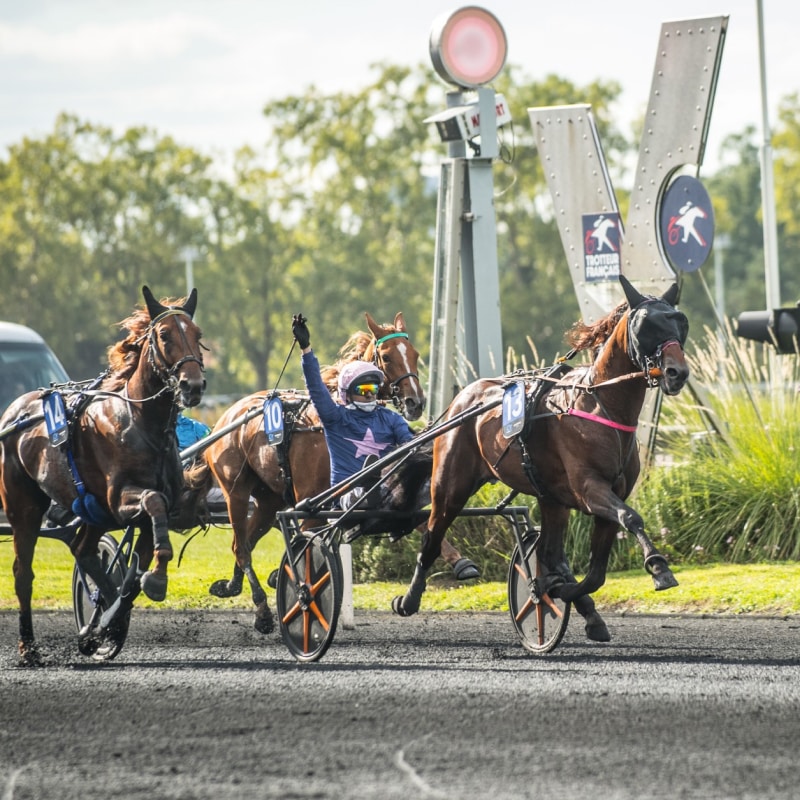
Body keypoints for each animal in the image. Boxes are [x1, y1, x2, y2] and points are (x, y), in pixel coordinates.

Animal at [1, 286, 206, 664]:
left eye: (198, 336)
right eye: (164, 335)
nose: (193, 385)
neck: (140, 423)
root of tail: (15, 409)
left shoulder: (136, 515)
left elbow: (133, 576)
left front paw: (107, 624)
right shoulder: (121, 500)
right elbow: (152, 503)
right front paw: (151, 583)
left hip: (93, 512)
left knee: (83, 549)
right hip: (24, 506)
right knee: (23, 573)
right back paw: (29, 647)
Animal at [200, 310, 476, 632]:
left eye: (415, 354)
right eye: (386, 356)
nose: (416, 402)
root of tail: (226, 417)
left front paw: (461, 562)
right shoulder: (312, 500)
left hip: (268, 499)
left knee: (243, 542)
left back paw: (232, 586)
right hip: (236, 492)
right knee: (242, 547)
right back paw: (262, 610)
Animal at [390, 276, 692, 644]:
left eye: (680, 322)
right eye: (645, 326)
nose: (677, 372)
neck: (600, 403)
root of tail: (461, 398)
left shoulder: (608, 493)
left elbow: (596, 572)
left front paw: (559, 590)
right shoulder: (590, 489)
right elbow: (630, 518)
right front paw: (659, 567)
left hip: (551, 499)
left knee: (549, 552)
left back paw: (578, 606)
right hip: (450, 486)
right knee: (431, 537)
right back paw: (409, 599)